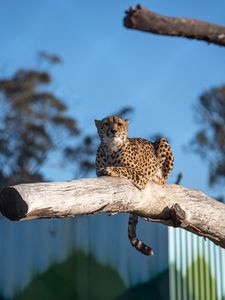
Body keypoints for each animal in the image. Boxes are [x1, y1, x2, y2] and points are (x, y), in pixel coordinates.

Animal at [95, 116, 174, 256]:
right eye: (106, 124)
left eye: (119, 124)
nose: (114, 131)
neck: (110, 147)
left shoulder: (141, 176)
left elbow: (124, 169)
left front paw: (110, 169)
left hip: (161, 140)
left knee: (162, 180)